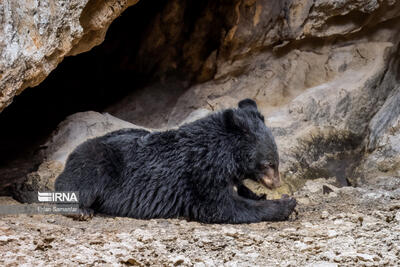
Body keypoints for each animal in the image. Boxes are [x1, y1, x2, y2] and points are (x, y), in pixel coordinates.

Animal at [54, 99, 296, 224]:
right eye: (269, 163)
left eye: (276, 161)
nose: (277, 183)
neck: (223, 156)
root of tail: (73, 153)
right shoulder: (199, 173)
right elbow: (222, 207)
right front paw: (285, 204)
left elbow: (239, 193)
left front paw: (261, 195)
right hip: (97, 161)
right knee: (78, 182)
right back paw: (80, 210)